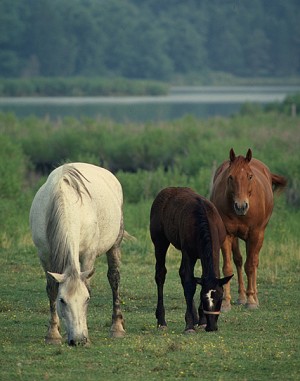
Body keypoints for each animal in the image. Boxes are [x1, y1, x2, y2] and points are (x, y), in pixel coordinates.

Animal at [31, 162, 126, 346]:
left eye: (86, 299)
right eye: (62, 301)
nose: (78, 340)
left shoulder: (88, 254)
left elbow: (88, 285)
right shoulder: (44, 255)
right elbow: (51, 289)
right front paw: (53, 334)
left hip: (115, 245)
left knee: (114, 278)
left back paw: (117, 327)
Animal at [150, 187, 232, 332]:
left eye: (220, 298)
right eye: (204, 298)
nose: (212, 326)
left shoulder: (214, 251)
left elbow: (198, 279)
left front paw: (201, 320)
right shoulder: (189, 254)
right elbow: (189, 284)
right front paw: (189, 325)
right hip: (160, 242)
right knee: (161, 274)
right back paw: (162, 321)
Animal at [210, 148, 288, 308]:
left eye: (250, 176)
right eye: (230, 177)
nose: (241, 206)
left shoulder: (255, 234)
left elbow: (251, 265)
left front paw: (251, 300)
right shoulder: (227, 234)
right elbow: (228, 267)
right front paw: (226, 302)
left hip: (258, 236)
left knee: (254, 261)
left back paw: (254, 297)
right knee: (239, 261)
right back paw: (241, 297)